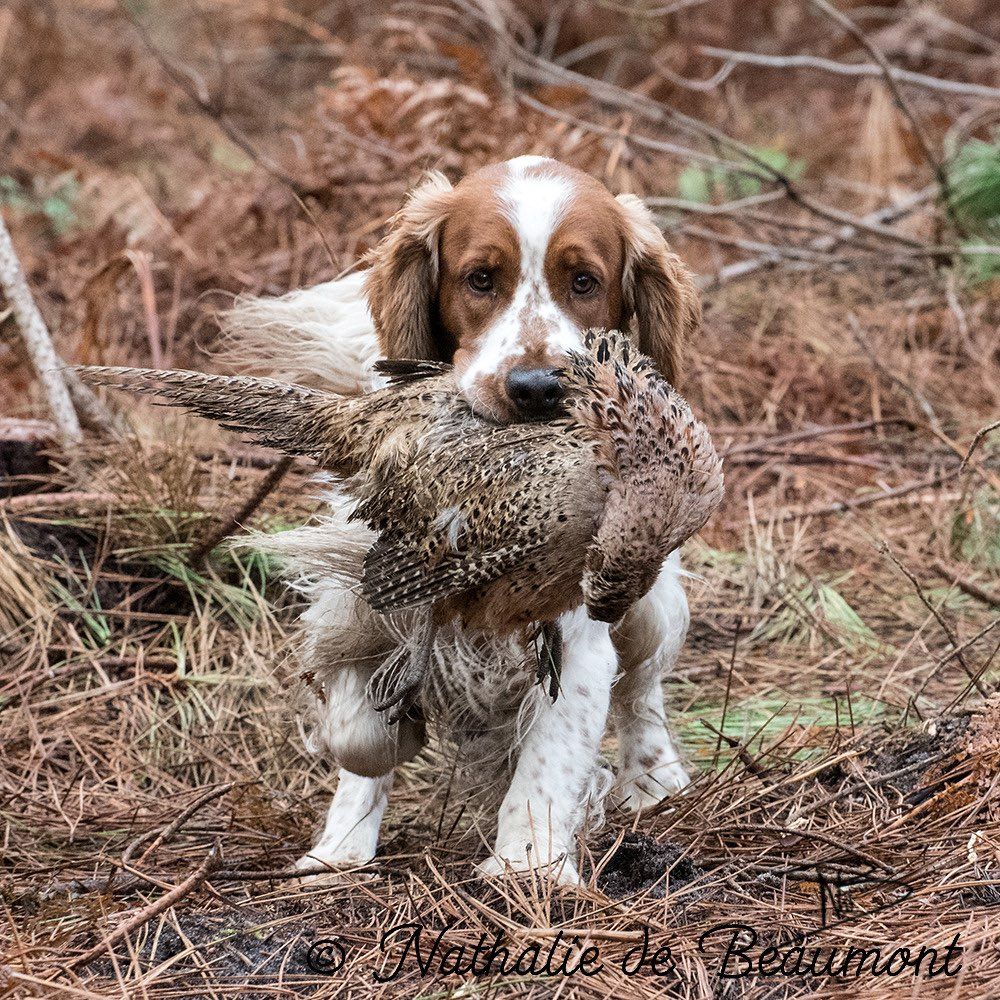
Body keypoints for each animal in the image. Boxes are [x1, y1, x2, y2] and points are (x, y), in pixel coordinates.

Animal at [223, 156, 700, 884]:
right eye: (480, 279)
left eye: (584, 282)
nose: (537, 388)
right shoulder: (366, 595)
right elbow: (357, 734)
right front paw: (339, 851)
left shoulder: (574, 627)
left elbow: (551, 756)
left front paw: (529, 868)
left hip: (650, 604)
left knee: (642, 689)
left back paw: (653, 780)